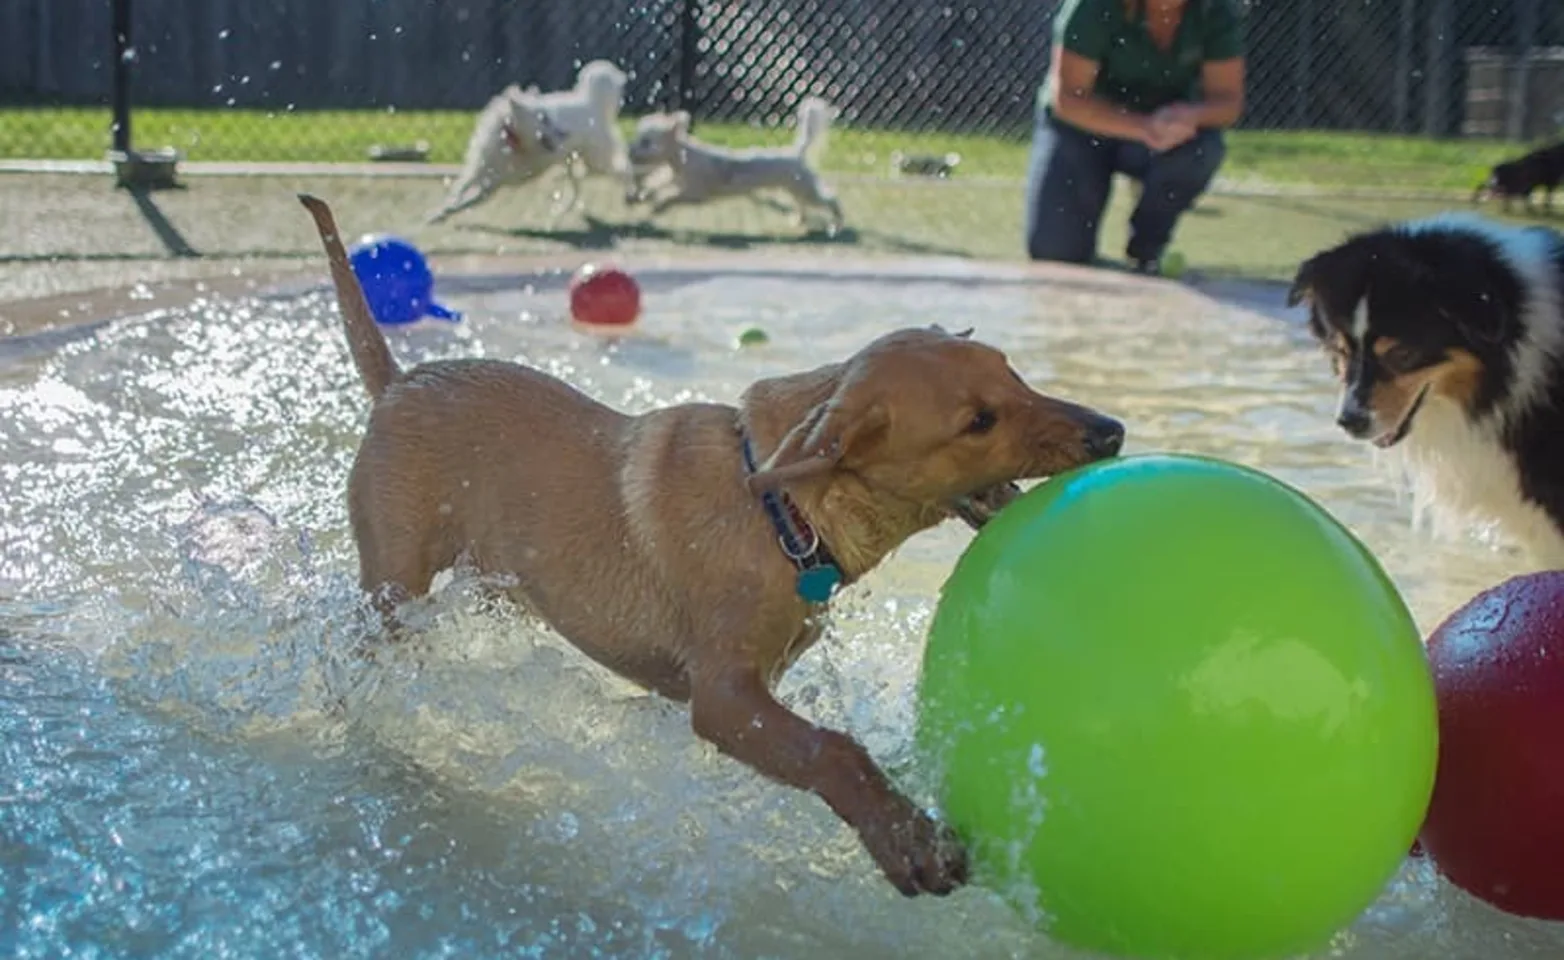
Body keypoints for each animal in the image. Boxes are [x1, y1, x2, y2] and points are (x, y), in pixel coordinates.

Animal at [295, 195, 1126, 900]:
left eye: (1016, 375)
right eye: (979, 422)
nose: (1112, 431)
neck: (780, 511)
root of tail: (401, 380)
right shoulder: (726, 697)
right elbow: (836, 751)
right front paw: (908, 840)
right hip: (394, 591)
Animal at [625, 95, 844, 231]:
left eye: (646, 142)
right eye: (638, 137)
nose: (630, 150)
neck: (683, 157)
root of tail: (796, 151)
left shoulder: (695, 193)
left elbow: (670, 197)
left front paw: (658, 206)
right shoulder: (672, 178)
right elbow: (656, 184)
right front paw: (638, 197)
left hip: (806, 188)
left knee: (830, 199)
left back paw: (837, 222)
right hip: (795, 187)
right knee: (802, 203)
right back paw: (799, 220)